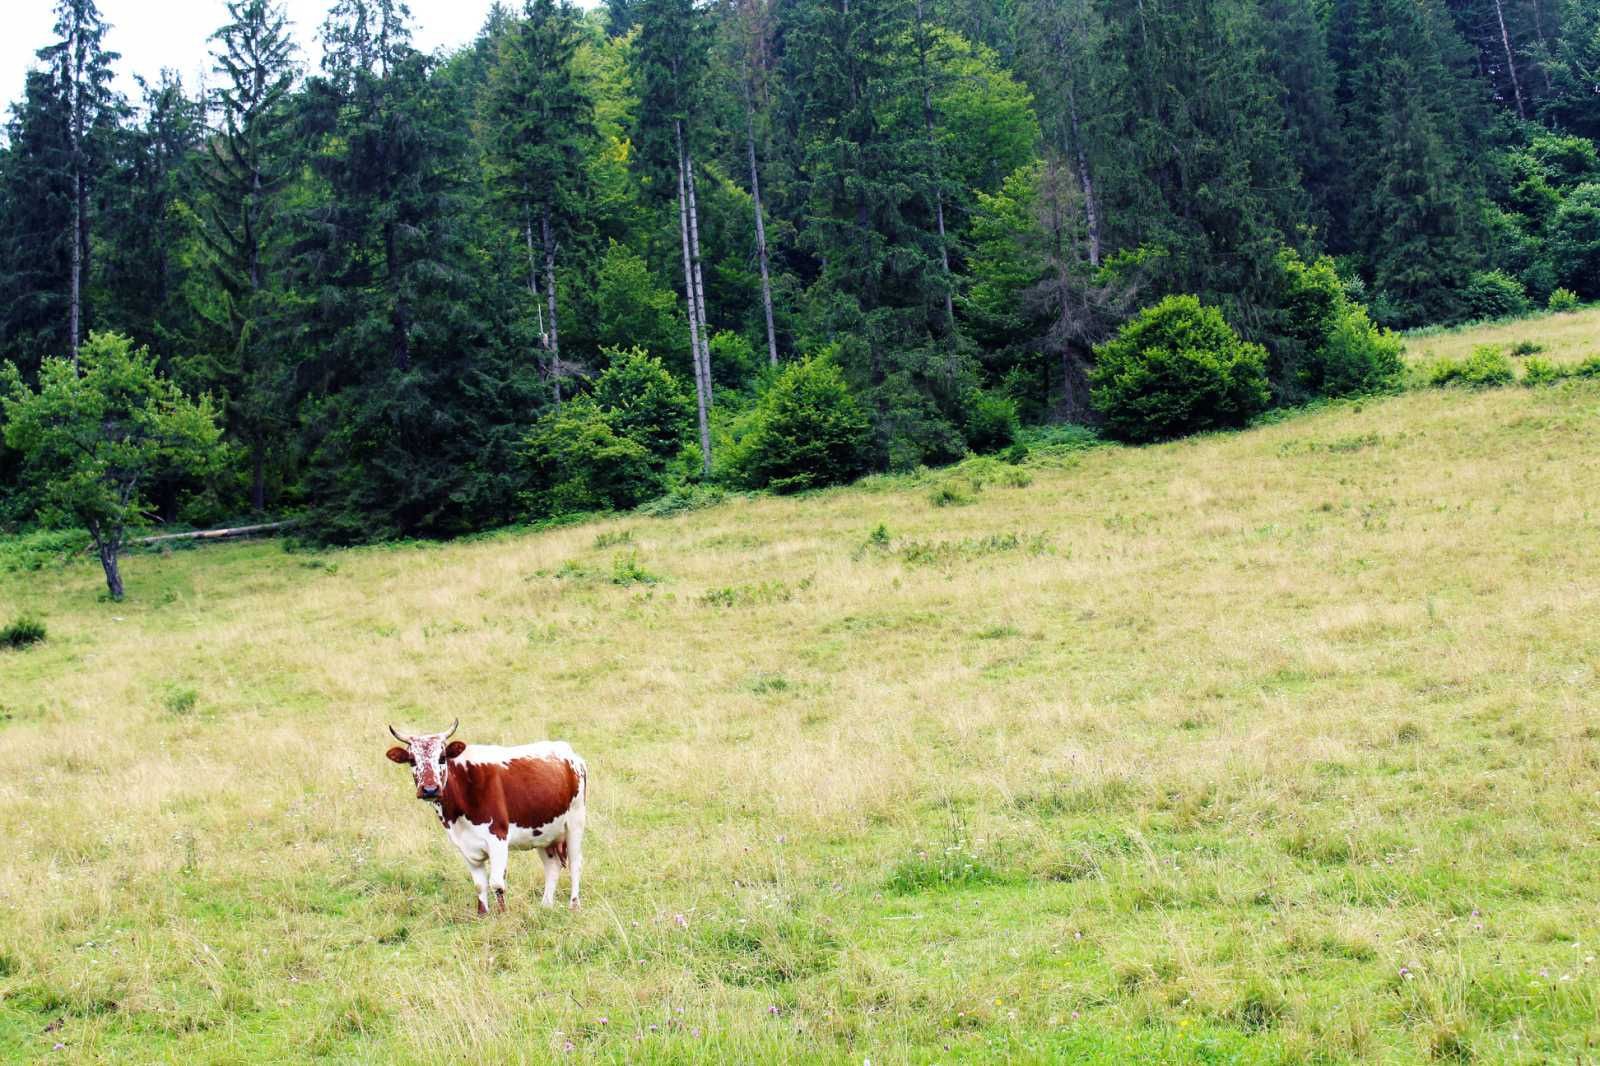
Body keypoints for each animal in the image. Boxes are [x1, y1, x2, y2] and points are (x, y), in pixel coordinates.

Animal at [384, 723, 592, 915]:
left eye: (442, 757)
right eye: (412, 760)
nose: (429, 789)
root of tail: (568, 751)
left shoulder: (498, 838)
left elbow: (497, 883)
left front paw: (502, 915)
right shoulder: (464, 846)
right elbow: (480, 884)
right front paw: (482, 915)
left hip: (575, 822)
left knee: (575, 863)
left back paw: (574, 905)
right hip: (543, 832)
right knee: (552, 866)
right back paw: (546, 905)